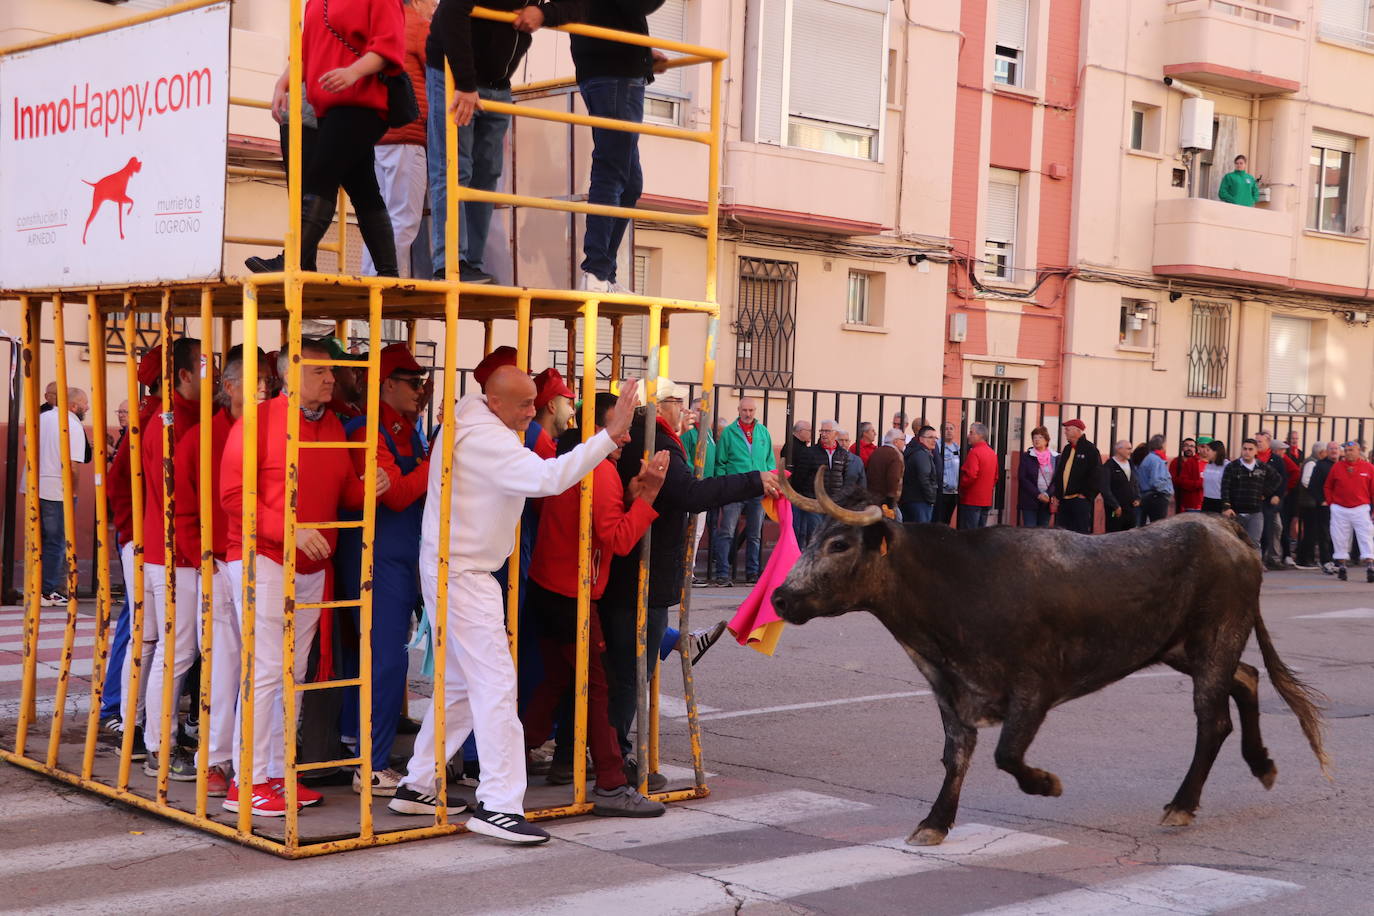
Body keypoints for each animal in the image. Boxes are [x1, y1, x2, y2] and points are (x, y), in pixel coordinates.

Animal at [769, 477, 1324, 851]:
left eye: (839, 544)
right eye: (813, 539)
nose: (779, 598)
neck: (956, 587)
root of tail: (1221, 525)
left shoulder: (1032, 691)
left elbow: (1007, 755)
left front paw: (1046, 784)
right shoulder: (952, 693)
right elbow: (957, 758)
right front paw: (934, 823)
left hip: (1215, 641)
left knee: (1213, 720)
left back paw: (1182, 805)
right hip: (1182, 648)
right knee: (1247, 678)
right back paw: (1262, 765)